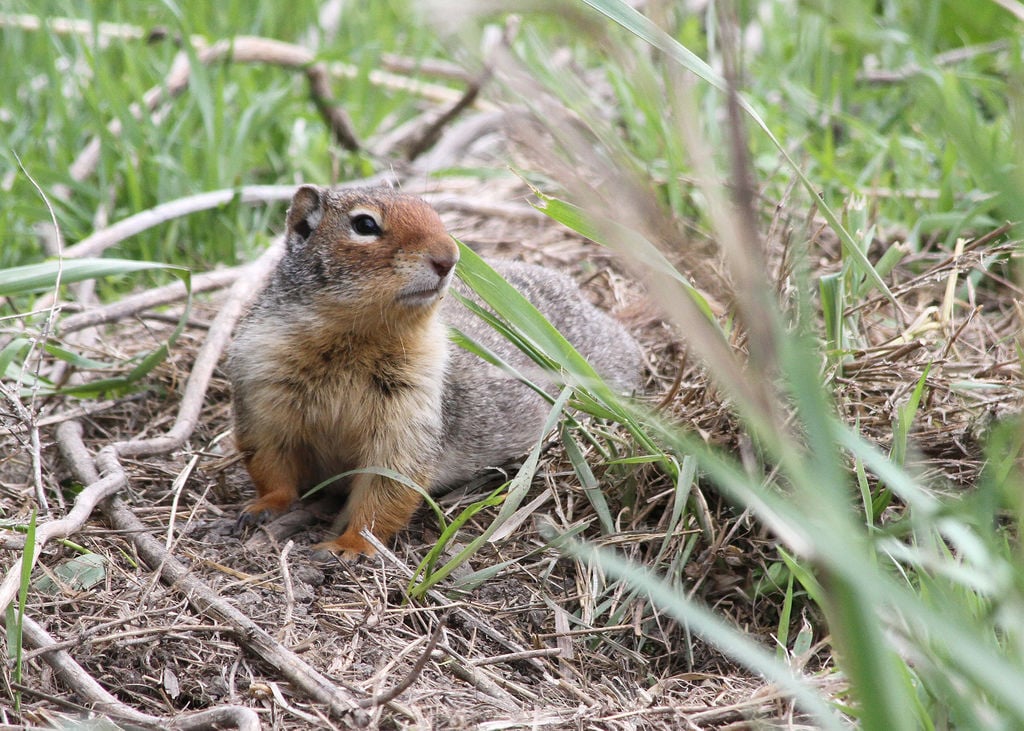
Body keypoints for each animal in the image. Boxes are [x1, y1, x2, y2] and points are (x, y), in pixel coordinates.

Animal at [226, 185, 638, 556]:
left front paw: (349, 545)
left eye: (435, 213)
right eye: (364, 224)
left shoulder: (412, 411)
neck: (356, 340)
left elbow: (388, 485)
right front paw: (262, 508)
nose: (449, 256)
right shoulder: (261, 389)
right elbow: (270, 465)